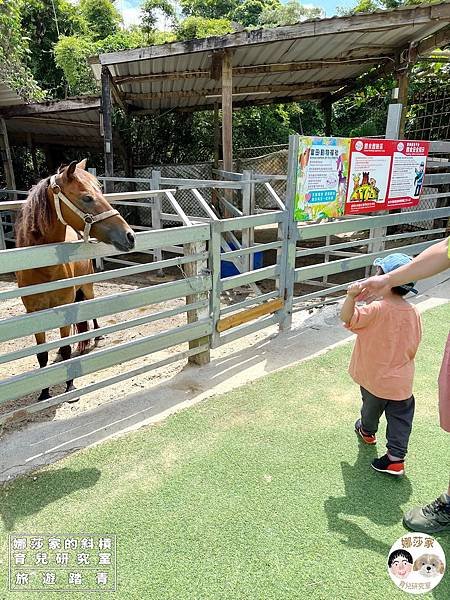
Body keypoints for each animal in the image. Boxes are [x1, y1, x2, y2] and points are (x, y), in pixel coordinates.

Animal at [14, 159, 136, 404]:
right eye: (87, 197)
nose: (129, 235)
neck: (42, 269)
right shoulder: (34, 314)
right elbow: (42, 356)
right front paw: (44, 393)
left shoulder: (65, 307)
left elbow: (68, 350)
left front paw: (70, 387)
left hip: (87, 289)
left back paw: (96, 335)